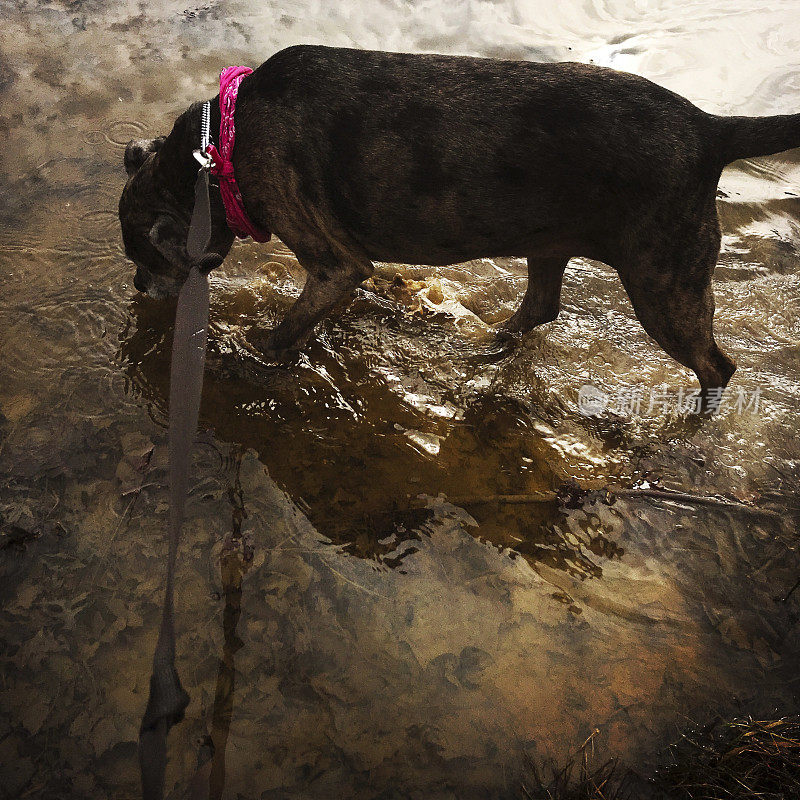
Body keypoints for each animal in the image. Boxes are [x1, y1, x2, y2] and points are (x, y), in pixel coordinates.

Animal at [119, 43, 800, 406]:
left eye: (144, 258)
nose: (137, 289)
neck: (218, 152)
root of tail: (712, 129)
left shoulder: (333, 262)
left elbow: (287, 327)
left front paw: (247, 355)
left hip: (665, 285)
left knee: (717, 366)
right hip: (551, 242)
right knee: (541, 306)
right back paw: (489, 346)